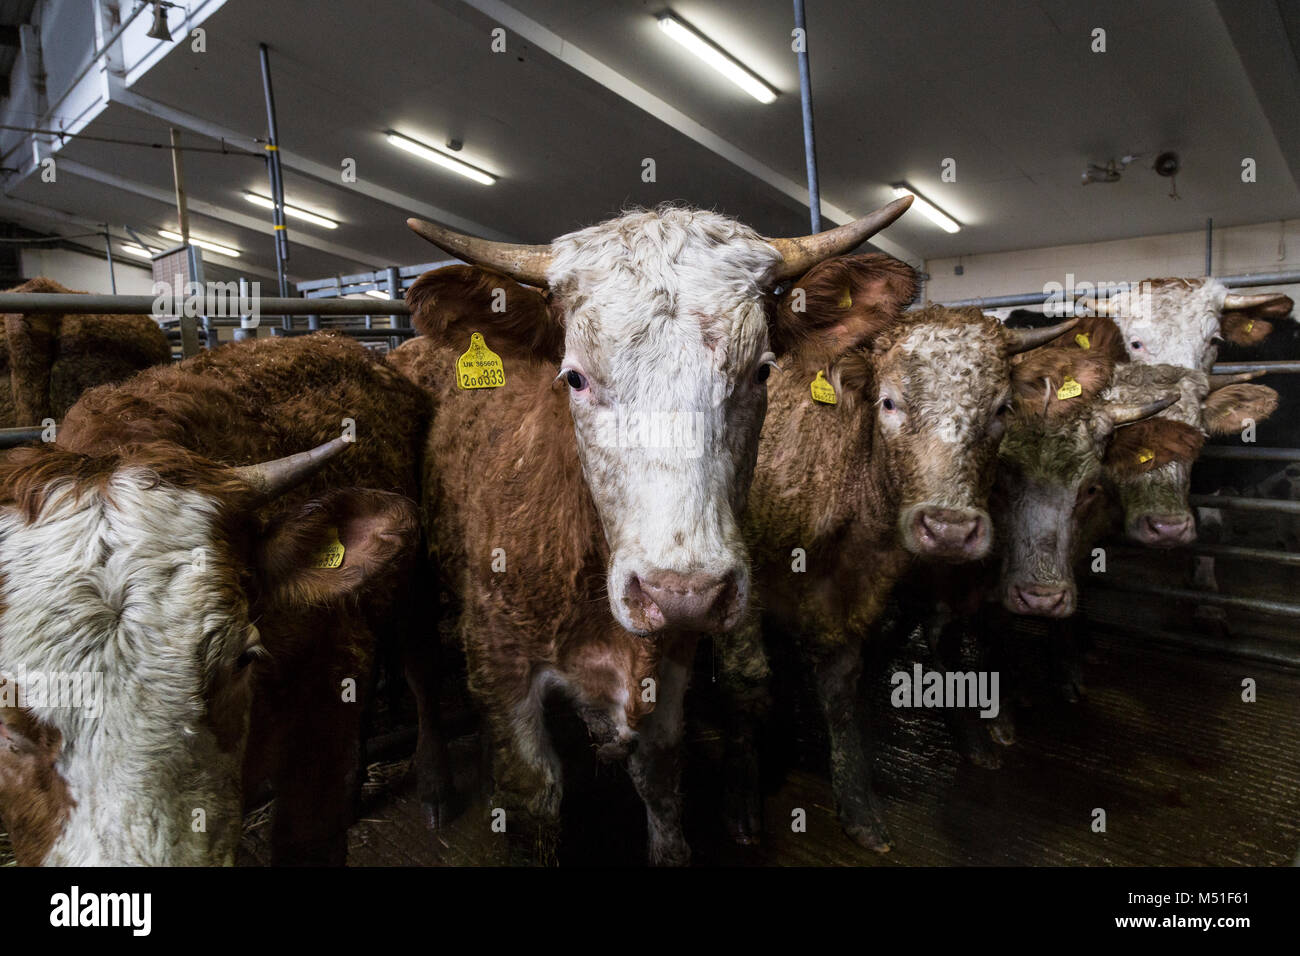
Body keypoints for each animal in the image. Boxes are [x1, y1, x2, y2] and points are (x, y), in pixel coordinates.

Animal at [384, 196, 915, 868]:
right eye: (575, 377)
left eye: (762, 372)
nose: (682, 592)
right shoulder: (501, 668)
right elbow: (535, 800)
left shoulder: (673, 668)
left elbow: (660, 785)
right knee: (420, 671)